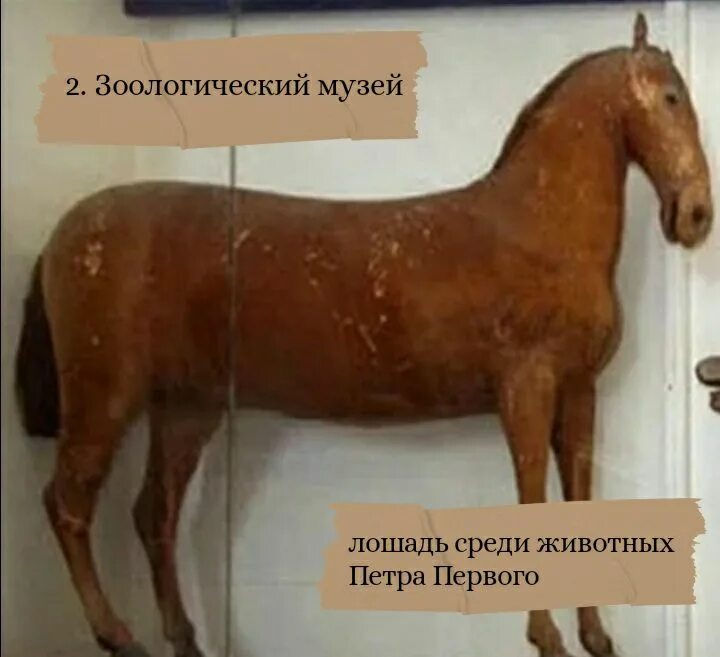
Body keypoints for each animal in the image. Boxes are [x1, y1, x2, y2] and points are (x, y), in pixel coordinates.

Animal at [14, 14, 713, 657]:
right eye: (670, 98)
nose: (696, 215)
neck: (537, 229)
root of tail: (63, 235)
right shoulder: (527, 391)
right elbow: (534, 502)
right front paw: (547, 638)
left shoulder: (578, 391)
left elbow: (579, 502)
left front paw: (596, 636)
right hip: (106, 396)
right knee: (68, 503)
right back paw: (116, 635)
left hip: (187, 407)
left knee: (153, 514)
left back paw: (181, 639)